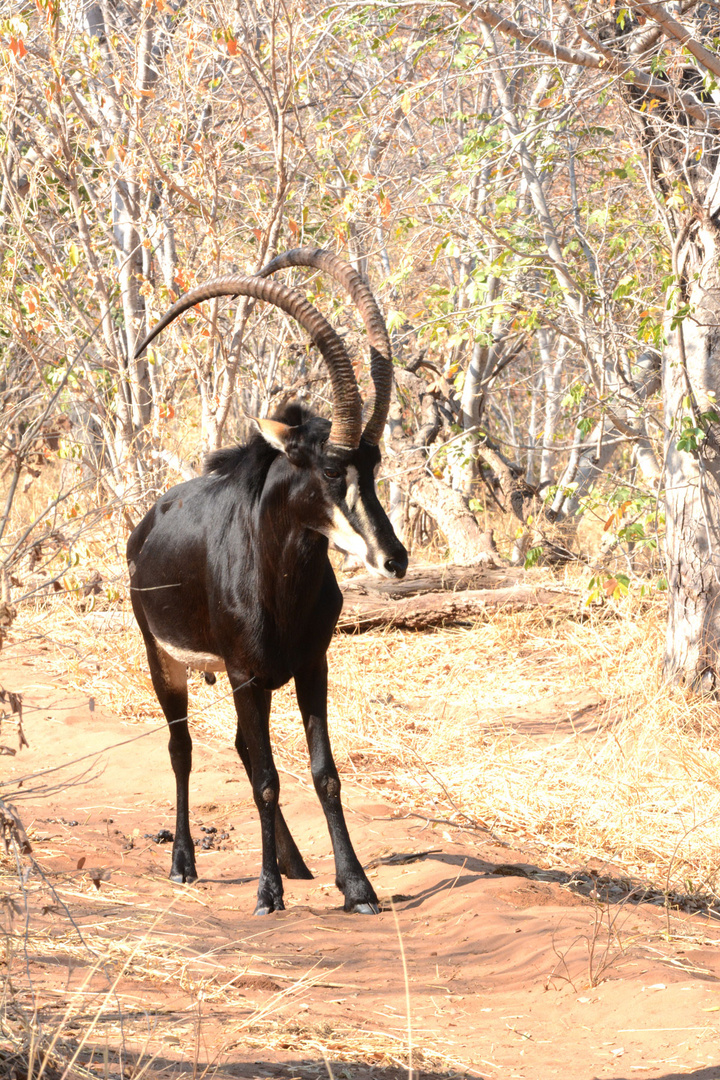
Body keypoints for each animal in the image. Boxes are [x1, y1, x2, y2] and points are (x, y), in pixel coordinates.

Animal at [127, 250, 408, 911]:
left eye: (374, 464)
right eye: (330, 468)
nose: (395, 560)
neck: (280, 580)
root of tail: (146, 525)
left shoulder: (311, 666)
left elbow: (323, 774)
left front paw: (356, 885)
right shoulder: (244, 675)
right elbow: (265, 780)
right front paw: (267, 893)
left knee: (237, 745)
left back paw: (295, 861)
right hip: (165, 660)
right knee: (183, 750)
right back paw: (184, 862)